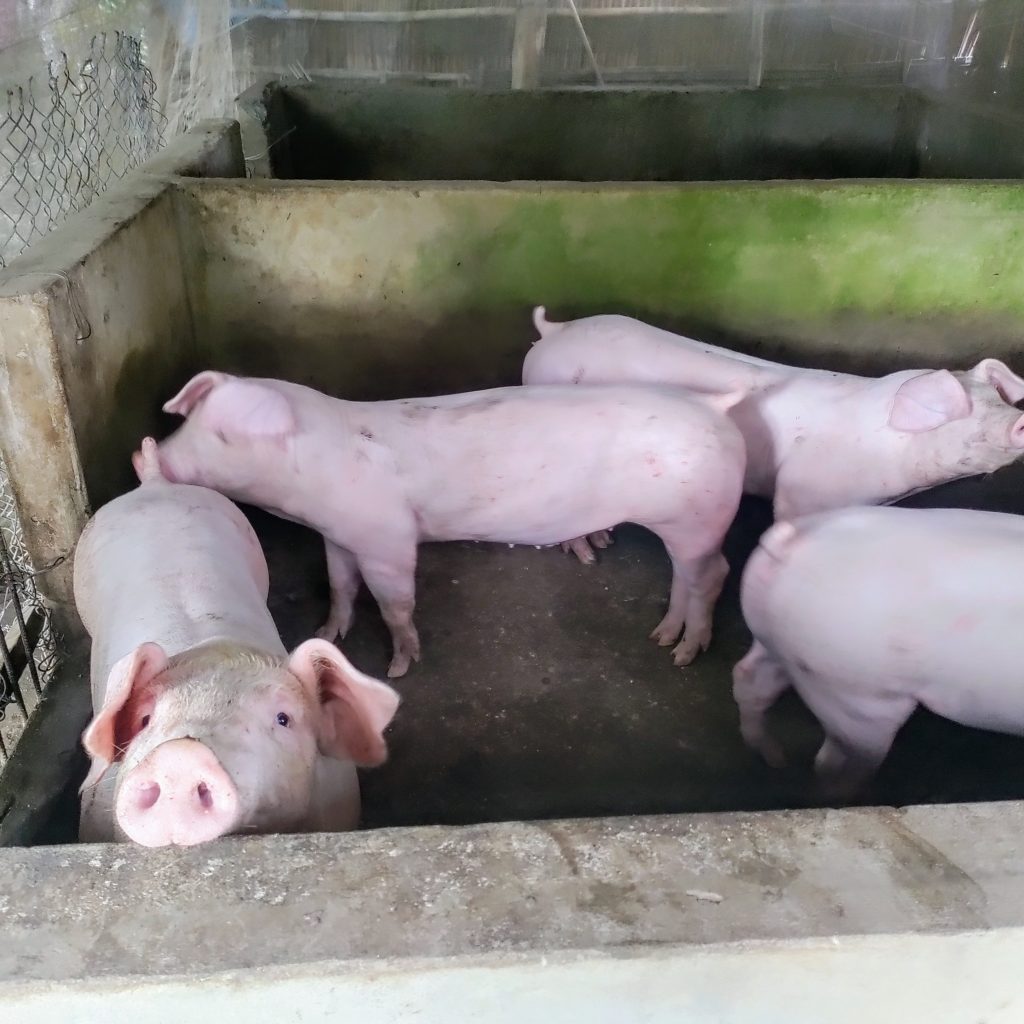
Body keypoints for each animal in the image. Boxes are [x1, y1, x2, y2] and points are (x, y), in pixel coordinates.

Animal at [140, 373, 747, 676]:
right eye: (188, 421)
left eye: (224, 435)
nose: (144, 454)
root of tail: (716, 407)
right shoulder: (339, 535)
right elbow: (340, 585)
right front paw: (327, 635)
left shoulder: (388, 539)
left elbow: (394, 602)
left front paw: (399, 667)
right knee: (685, 575)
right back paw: (663, 636)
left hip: (699, 517)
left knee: (714, 573)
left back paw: (684, 654)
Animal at [523, 307, 1024, 559]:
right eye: (959, 409)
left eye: (998, 399)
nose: (1018, 420)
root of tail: (554, 330)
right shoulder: (800, 491)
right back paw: (592, 550)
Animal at [734, 504, 1024, 797]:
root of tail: (789, 542)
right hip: (855, 690)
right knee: (836, 761)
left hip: (783, 644)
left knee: (749, 677)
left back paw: (774, 758)